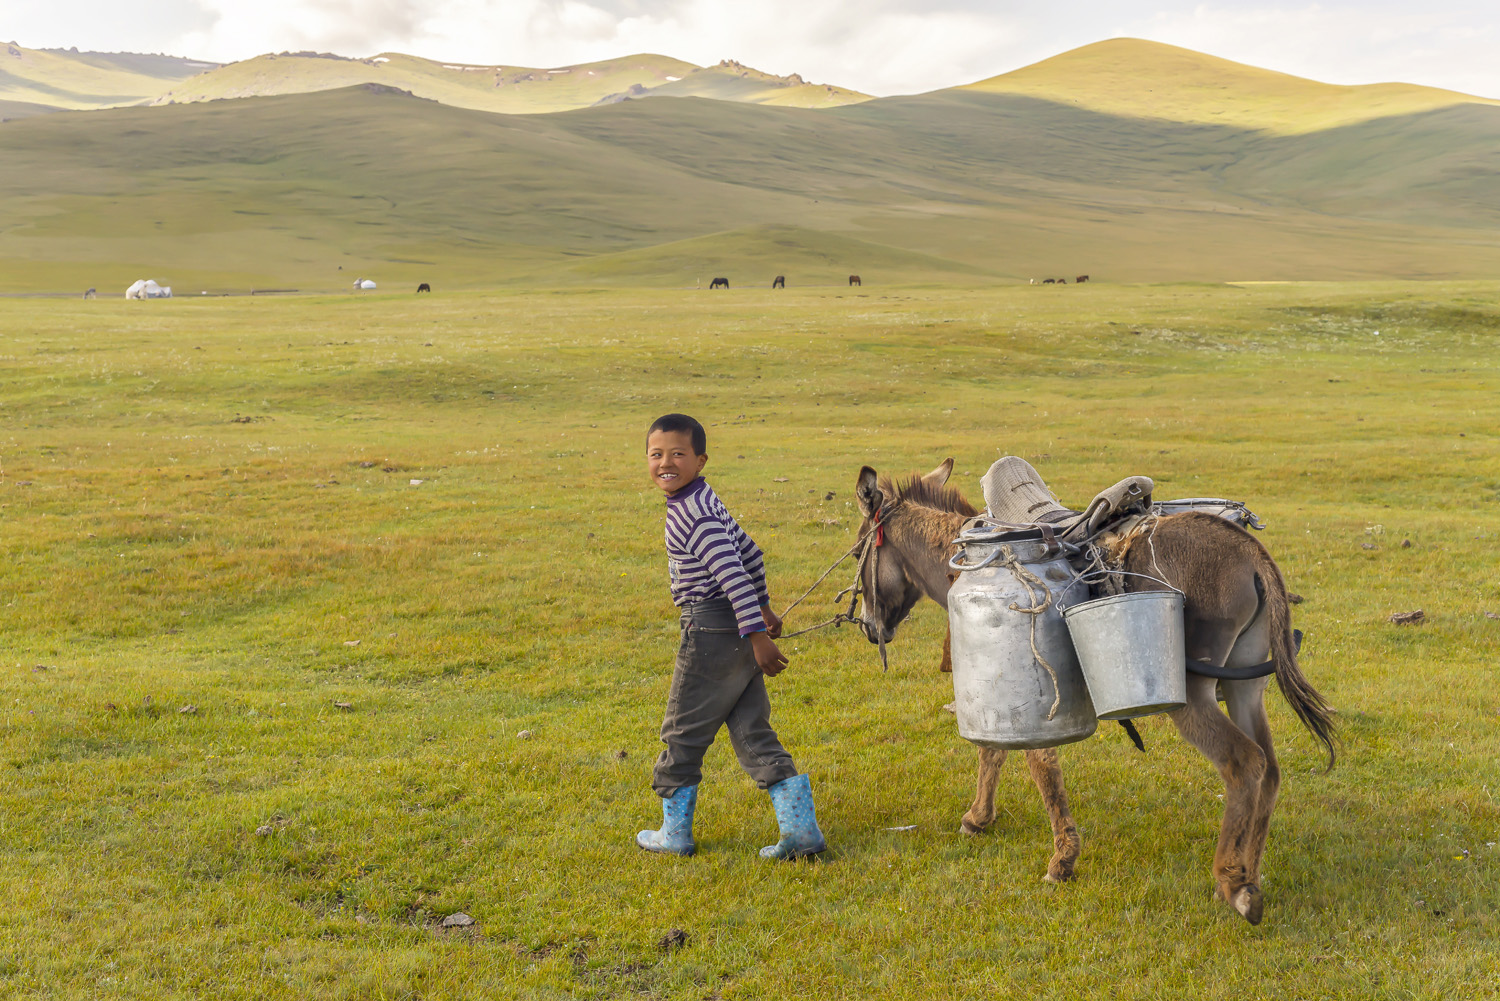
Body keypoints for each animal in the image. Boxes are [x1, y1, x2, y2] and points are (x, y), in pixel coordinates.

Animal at [858, 462, 1338, 924]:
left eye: (860, 551)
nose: (868, 627)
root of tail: (1248, 550)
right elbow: (993, 750)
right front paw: (979, 818)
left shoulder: (1035, 699)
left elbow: (1036, 764)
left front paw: (1061, 860)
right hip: (1244, 684)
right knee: (1270, 769)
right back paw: (1250, 875)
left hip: (1193, 693)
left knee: (1244, 763)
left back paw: (1232, 884)